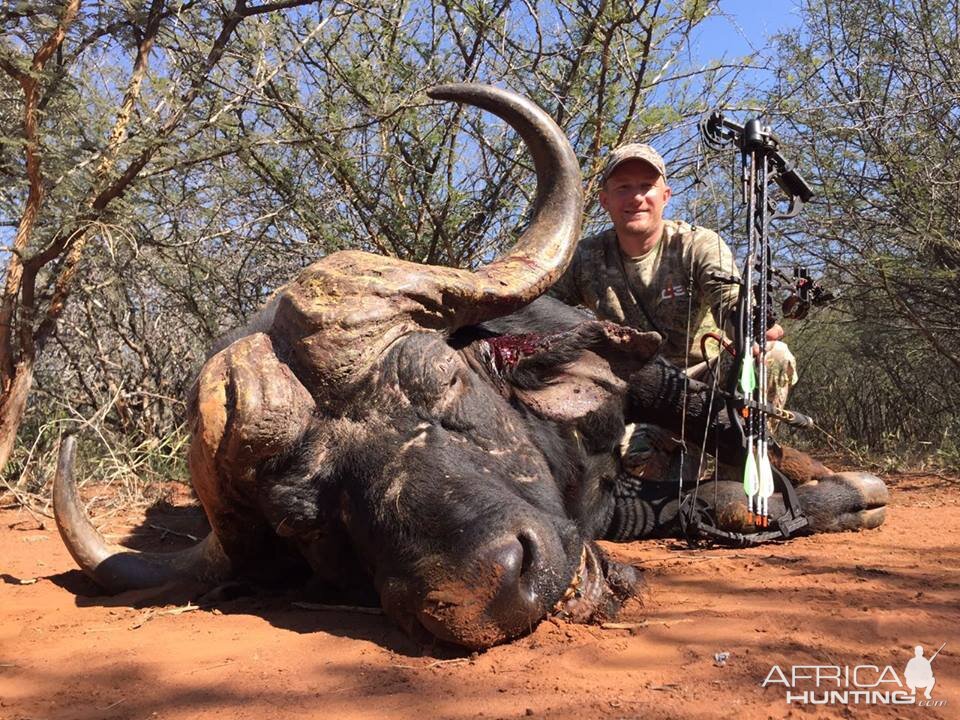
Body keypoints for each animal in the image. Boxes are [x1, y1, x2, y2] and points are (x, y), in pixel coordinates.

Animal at [52, 81, 888, 648]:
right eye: (303, 521)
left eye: (443, 380)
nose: (491, 592)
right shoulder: (613, 511)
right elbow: (714, 503)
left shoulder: (649, 385)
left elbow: (747, 452)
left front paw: (848, 490)